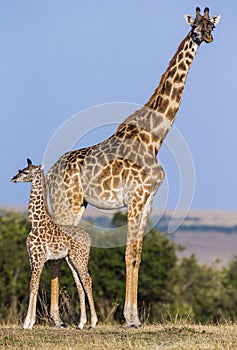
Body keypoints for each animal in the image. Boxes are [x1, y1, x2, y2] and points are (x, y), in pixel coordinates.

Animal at [11, 160, 97, 330]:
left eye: (26, 172)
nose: (13, 179)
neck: (35, 223)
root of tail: (89, 238)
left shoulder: (39, 258)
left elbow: (33, 285)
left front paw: (27, 323)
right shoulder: (32, 258)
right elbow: (35, 285)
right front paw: (30, 322)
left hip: (80, 258)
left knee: (87, 280)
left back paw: (93, 323)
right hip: (71, 260)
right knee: (79, 284)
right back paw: (81, 323)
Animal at [46, 6, 220, 326]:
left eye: (211, 25)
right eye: (195, 28)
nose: (208, 38)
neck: (155, 137)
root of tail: (50, 173)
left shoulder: (148, 201)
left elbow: (138, 253)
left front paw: (135, 315)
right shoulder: (135, 198)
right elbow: (128, 253)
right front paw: (129, 318)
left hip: (79, 205)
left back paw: (63, 317)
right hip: (66, 203)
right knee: (59, 248)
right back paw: (57, 318)